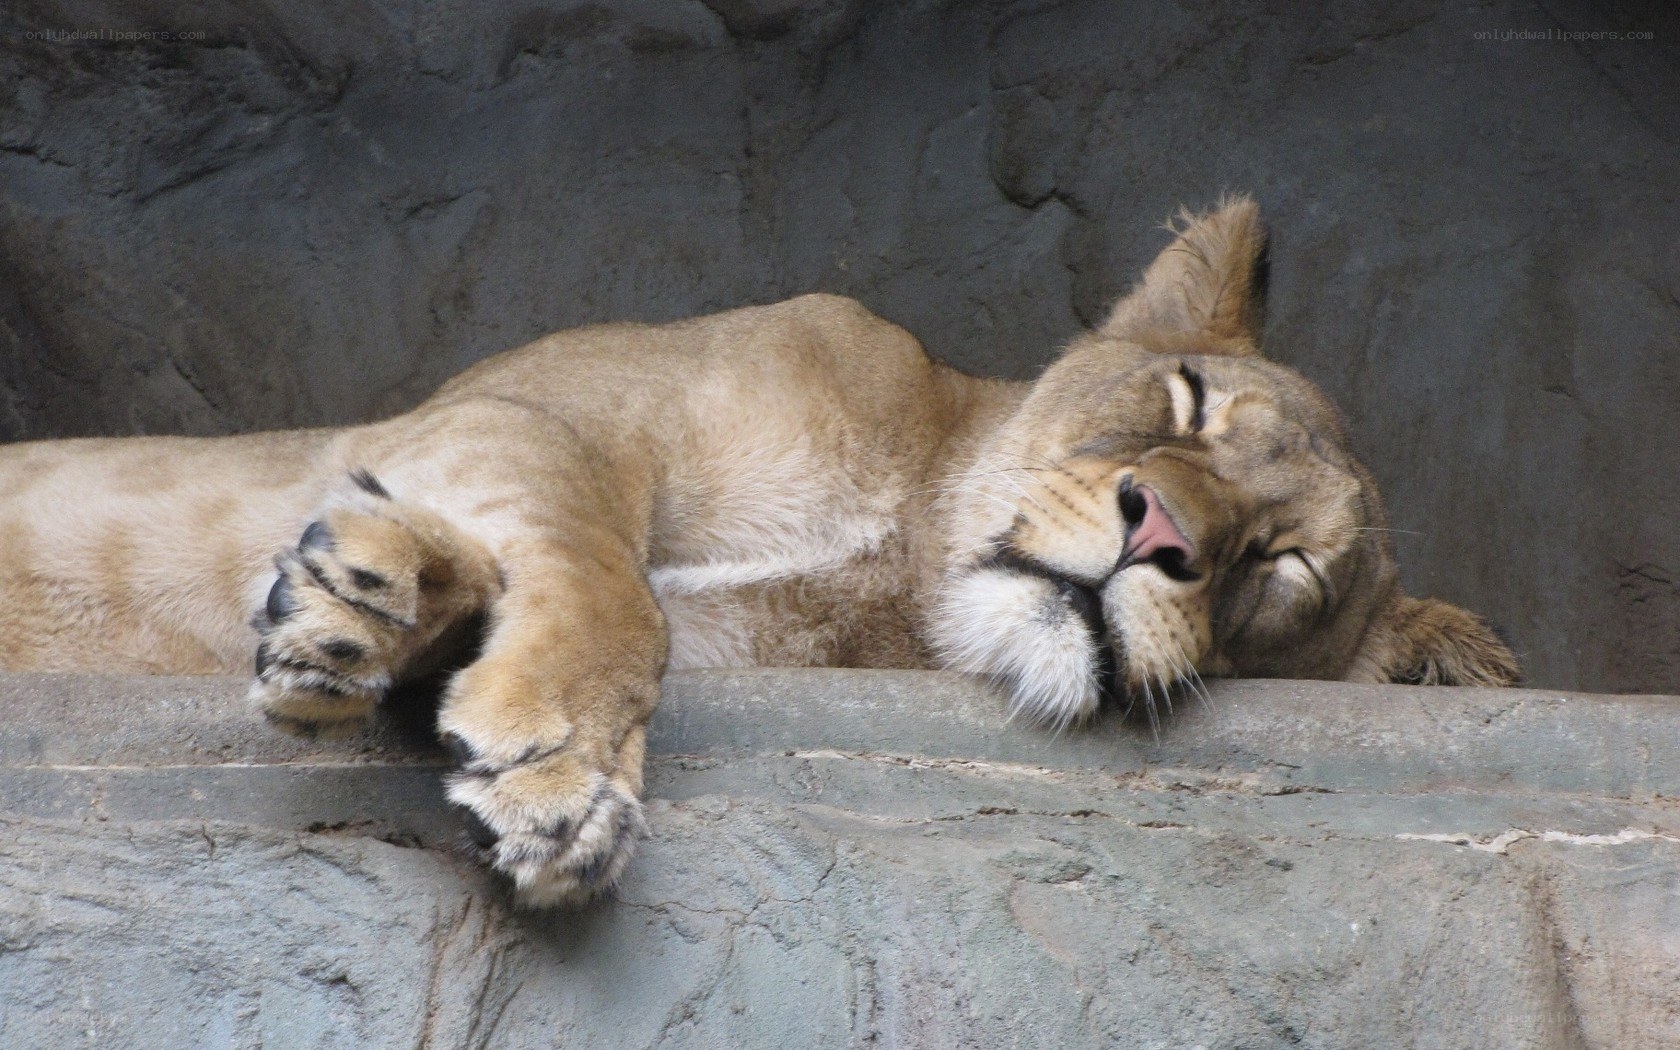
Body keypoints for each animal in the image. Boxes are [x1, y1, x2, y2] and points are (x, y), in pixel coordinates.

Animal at [0, 197, 1517, 905]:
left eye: (1284, 566)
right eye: (1188, 405)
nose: (1163, 533)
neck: (903, 554)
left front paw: (367, 618)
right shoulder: (521, 407)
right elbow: (606, 575)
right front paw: (552, 757)